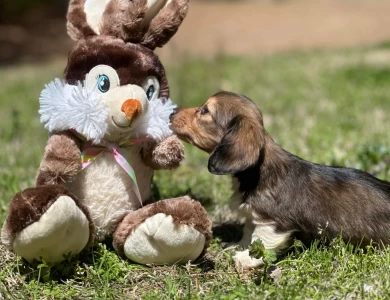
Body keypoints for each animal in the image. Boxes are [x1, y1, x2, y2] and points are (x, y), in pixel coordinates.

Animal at [171, 91, 390, 270]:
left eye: (205, 111)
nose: (171, 112)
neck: (258, 171)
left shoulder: (272, 222)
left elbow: (259, 241)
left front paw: (244, 259)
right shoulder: (254, 216)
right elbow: (248, 233)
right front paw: (237, 246)